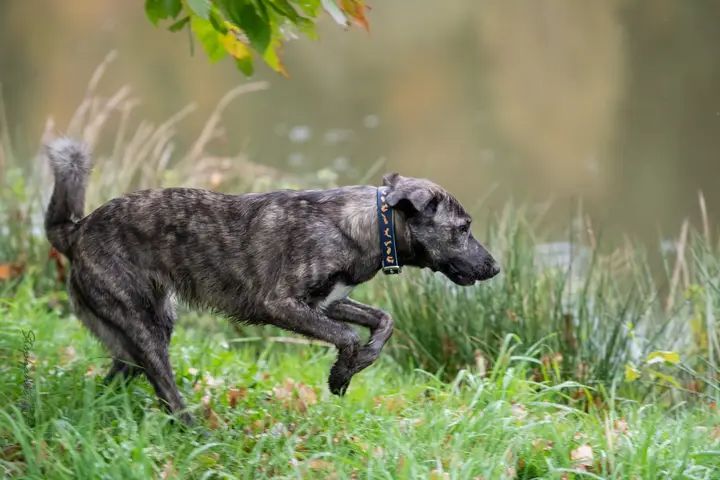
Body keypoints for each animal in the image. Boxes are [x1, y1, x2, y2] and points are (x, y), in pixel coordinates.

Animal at [42, 138, 498, 424]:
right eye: (462, 229)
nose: (494, 268)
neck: (367, 223)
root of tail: (76, 231)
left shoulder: (329, 303)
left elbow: (383, 321)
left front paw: (358, 364)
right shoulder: (281, 305)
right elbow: (348, 337)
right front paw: (341, 374)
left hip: (144, 325)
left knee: (121, 374)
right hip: (145, 327)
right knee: (166, 391)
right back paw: (194, 429)